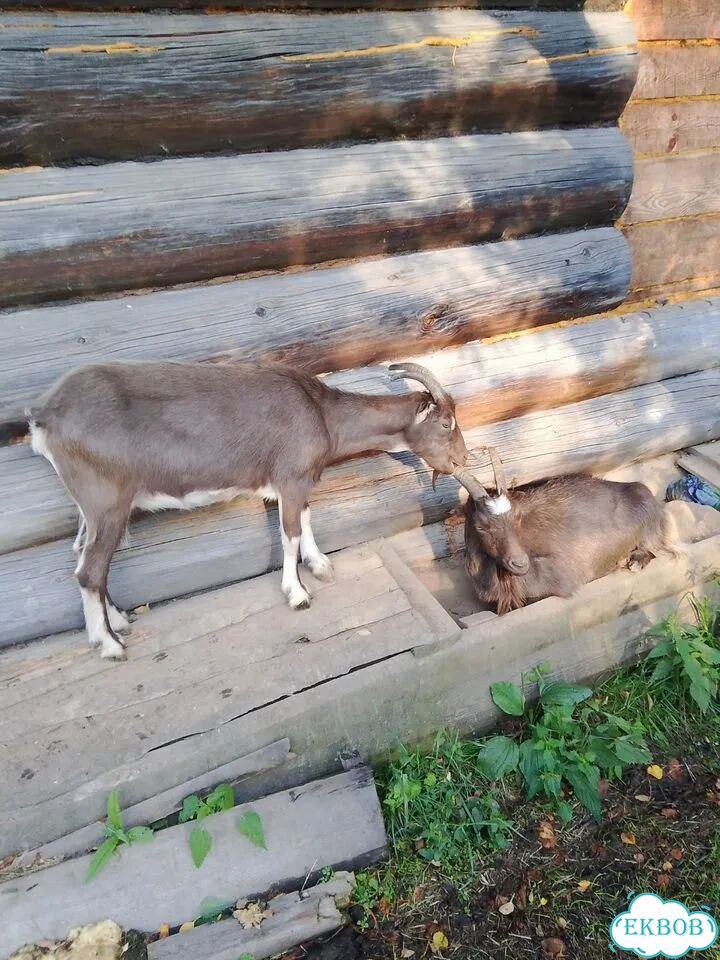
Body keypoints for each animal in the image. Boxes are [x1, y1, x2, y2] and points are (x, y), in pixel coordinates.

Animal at [2, 360, 467, 659]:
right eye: (446, 423)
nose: (462, 461)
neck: (321, 413)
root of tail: (44, 414)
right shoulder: (290, 475)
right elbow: (290, 531)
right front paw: (298, 593)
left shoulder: (295, 481)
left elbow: (306, 517)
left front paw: (319, 565)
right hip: (107, 499)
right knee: (90, 568)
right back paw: (110, 645)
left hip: (91, 507)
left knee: (82, 554)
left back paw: (117, 621)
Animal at [454, 449, 680, 615]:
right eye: (480, 526)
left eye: (517, 516)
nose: (520, 563)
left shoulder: (559, 577)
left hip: (651, 532)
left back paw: (633, 561)